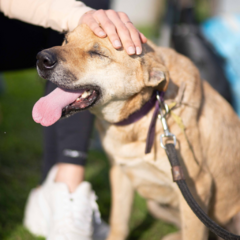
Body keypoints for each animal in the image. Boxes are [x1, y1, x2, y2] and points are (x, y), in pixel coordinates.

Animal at [32, 24, 240, 240]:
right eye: (66, 40)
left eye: (97, 53)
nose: (41, 58)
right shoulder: (120, 173)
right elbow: (119, 223)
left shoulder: (197, 185)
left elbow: (192, 234)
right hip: (155, 205)